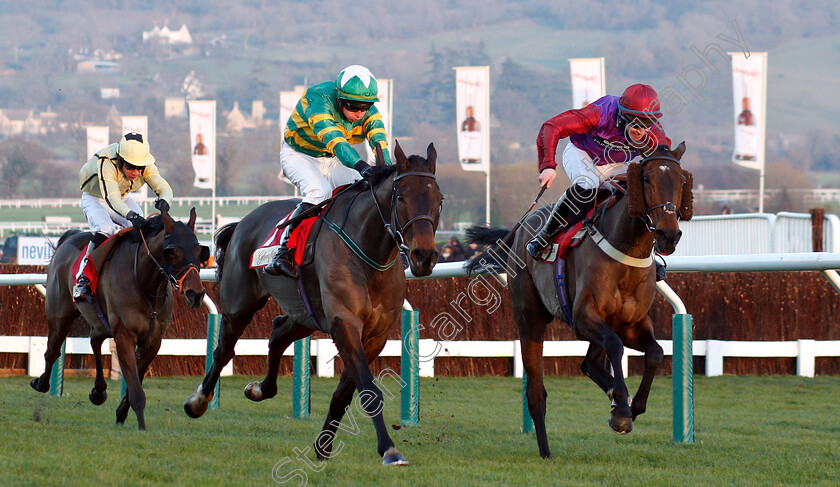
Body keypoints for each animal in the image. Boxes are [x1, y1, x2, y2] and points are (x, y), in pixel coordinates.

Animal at [30, 210, 208, 430]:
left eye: (200, 251)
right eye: (172, 251)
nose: (195, 294)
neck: (145, 284)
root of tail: (68, 238)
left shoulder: (153, 341)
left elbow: (135, 381)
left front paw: (121, 413)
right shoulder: (124, 335)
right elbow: (136, 389)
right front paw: (141, 426)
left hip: (99, 321)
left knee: (94, 340)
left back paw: (98, 391)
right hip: (60, 315)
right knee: (52, 351)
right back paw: (41, 383)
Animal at [185, 142, 446, 468]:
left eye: (439, 200)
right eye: (401, 197)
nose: (425, 256)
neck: (369, 252)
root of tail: (243, 222)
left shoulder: (376, 334)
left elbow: (345, 393)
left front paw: (323, 446)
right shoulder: (344, 323)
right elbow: (369, 391)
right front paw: (389, 449)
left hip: (305, 314)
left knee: (277, 333)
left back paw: (260, 389)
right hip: (240, 304)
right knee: (223, 350)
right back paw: (198, 401)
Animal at [466, 143, 688, 460]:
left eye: (681, 180)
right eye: (646, 179)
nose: (669, 234)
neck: (626, 248)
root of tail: (521, 228)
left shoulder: (631, 323)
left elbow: (655, 353)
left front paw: (630, 407)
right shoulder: (583, 317)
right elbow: (615, 346)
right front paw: (621, 411)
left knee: (590, 364)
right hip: (530, 317)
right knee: (536, 392)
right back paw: (546, 450)